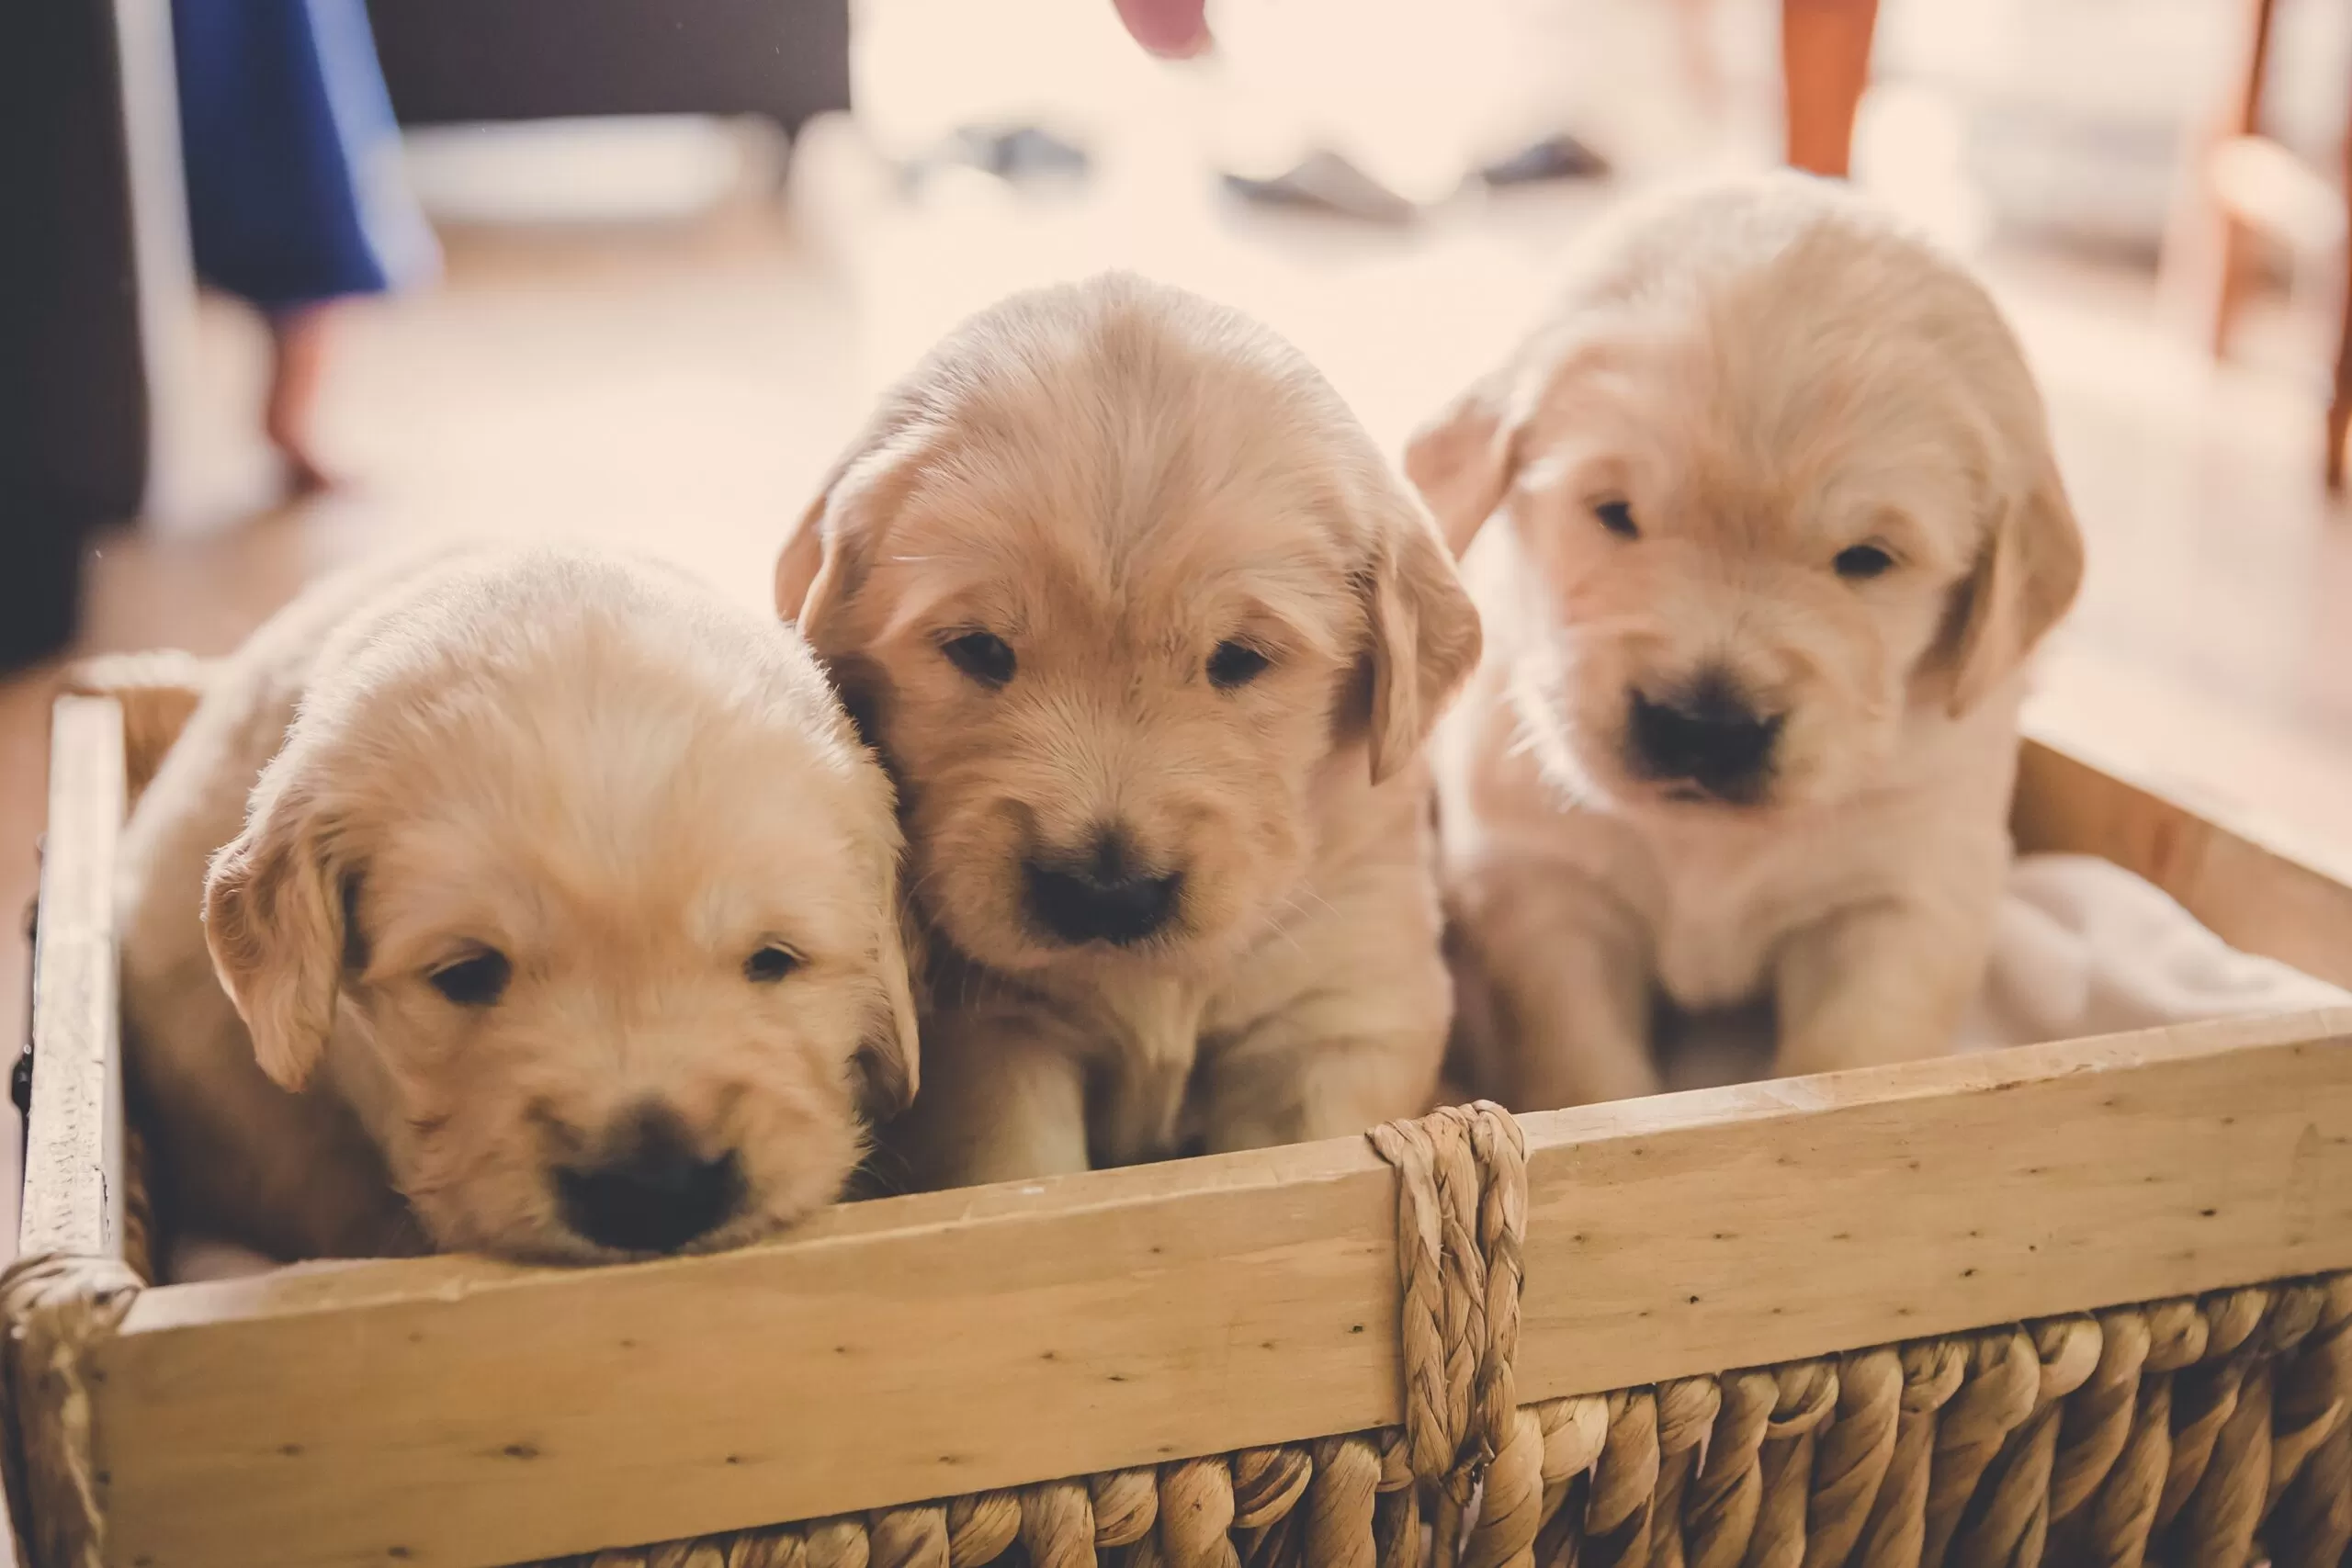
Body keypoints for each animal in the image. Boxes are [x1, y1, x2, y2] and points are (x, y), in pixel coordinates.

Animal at [780, 272, 1476, 1189]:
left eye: (1239, 658)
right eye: (978, 648)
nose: (1105, 889)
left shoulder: (1335, 1008)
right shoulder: (997, 1032)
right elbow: (1021, 1162)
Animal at [1401, 177, 2088, 1109]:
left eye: (1866, 558)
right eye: (1615, 512)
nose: (1704, 724)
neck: (1710, 841)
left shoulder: (1905, 893)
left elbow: (1857, 1052)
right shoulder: (1544, 883)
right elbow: (1584, 1060)